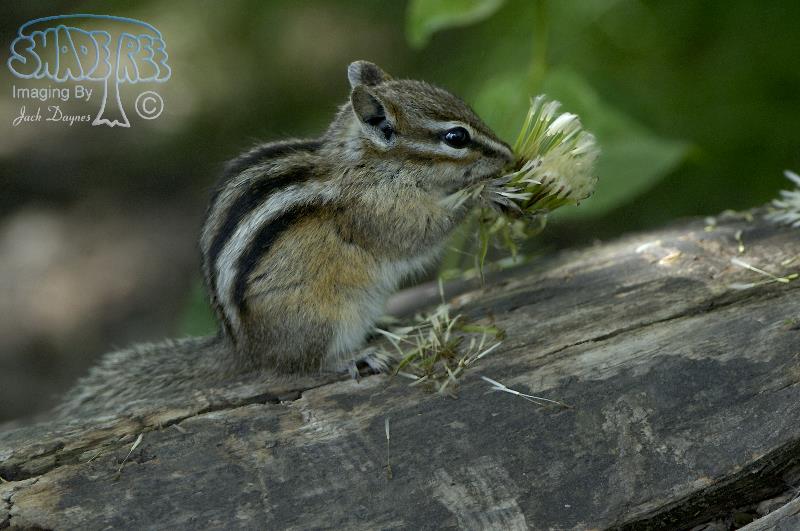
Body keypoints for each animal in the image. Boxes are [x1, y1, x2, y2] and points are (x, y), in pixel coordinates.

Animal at [55, 61, 513, 418]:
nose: (510, 153)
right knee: (299, 369)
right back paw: (354, 356)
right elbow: (417, 237)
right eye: (456, 137)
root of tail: (244, 349)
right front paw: (487, 192)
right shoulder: (377, 212)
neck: (369, 164)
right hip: (322, 318)